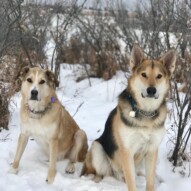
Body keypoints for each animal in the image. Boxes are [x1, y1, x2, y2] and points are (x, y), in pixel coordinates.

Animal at [81, 44, 176, 190]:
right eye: (144, 75)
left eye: (159, 76)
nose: (151, 90)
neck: (145, 112)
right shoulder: (127, 151)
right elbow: (131, 182)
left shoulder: (151, 150)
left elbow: (150, 181)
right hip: (98, 149)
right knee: (102, 173)